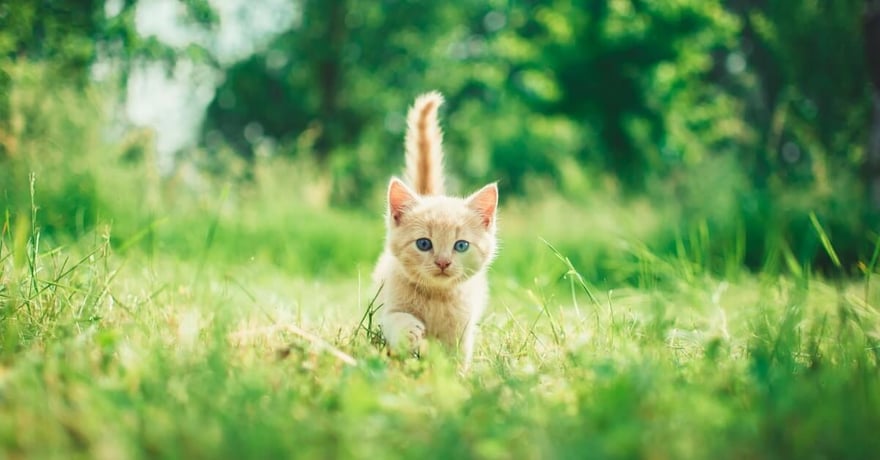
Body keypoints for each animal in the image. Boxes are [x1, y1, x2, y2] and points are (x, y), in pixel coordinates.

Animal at [370, 91, 496, 368]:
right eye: (424, 243)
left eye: (461, 245)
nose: (443, 262)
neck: (435, 298)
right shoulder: (387, 306)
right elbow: (394, 318)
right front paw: (408, 331)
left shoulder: (462, 329)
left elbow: (456, 357)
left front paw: (455, 376)